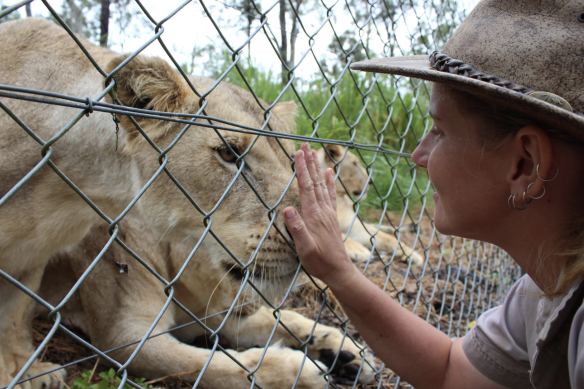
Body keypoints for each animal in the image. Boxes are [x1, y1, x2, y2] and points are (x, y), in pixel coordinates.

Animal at [0, 19, 368, 389]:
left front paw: (344, 348)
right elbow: (218, 367)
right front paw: (298, 370)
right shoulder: (126, 336)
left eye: (290, 159)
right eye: (229, 154)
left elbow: (282, 319)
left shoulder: (214, 312)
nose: (318, 238)